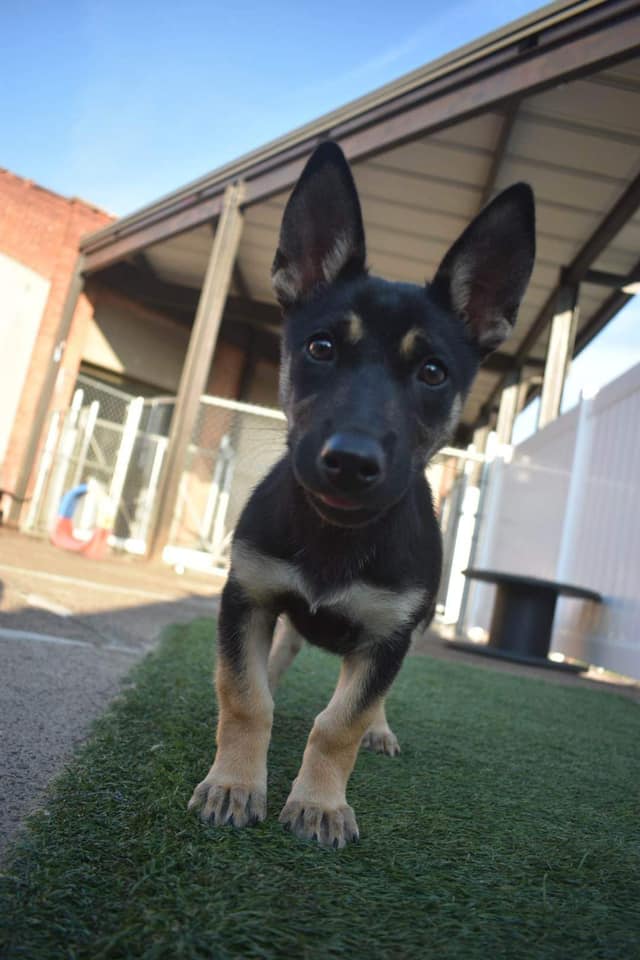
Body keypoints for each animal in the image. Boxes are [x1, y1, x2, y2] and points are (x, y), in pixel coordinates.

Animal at [189, 141, 535, 848]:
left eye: (432, 372)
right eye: (321, 347)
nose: (349, 462)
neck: (337, 533)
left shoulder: (389, 636)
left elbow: (340, 721)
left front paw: (320, 803)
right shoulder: (247, 595)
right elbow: (245, 696)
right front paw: (234, 784)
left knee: (366, 698)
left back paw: (378, 729)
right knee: (283, 654)